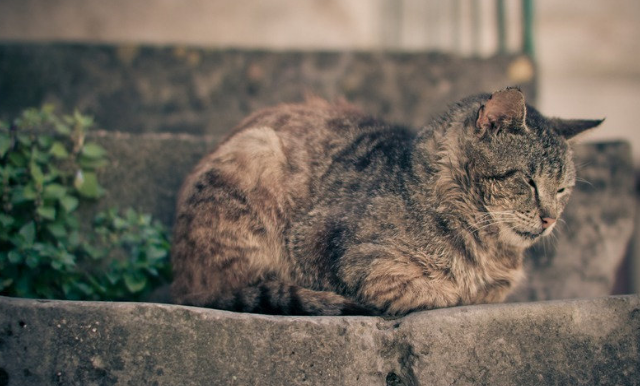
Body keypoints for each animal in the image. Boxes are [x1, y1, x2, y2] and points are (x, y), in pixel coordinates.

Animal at [169, 88, 600, 316]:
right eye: (528, 181)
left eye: (563, 189)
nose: (549, 219)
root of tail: (181, 282)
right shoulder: (363, 262)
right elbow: (442, 291)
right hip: (258, 148)